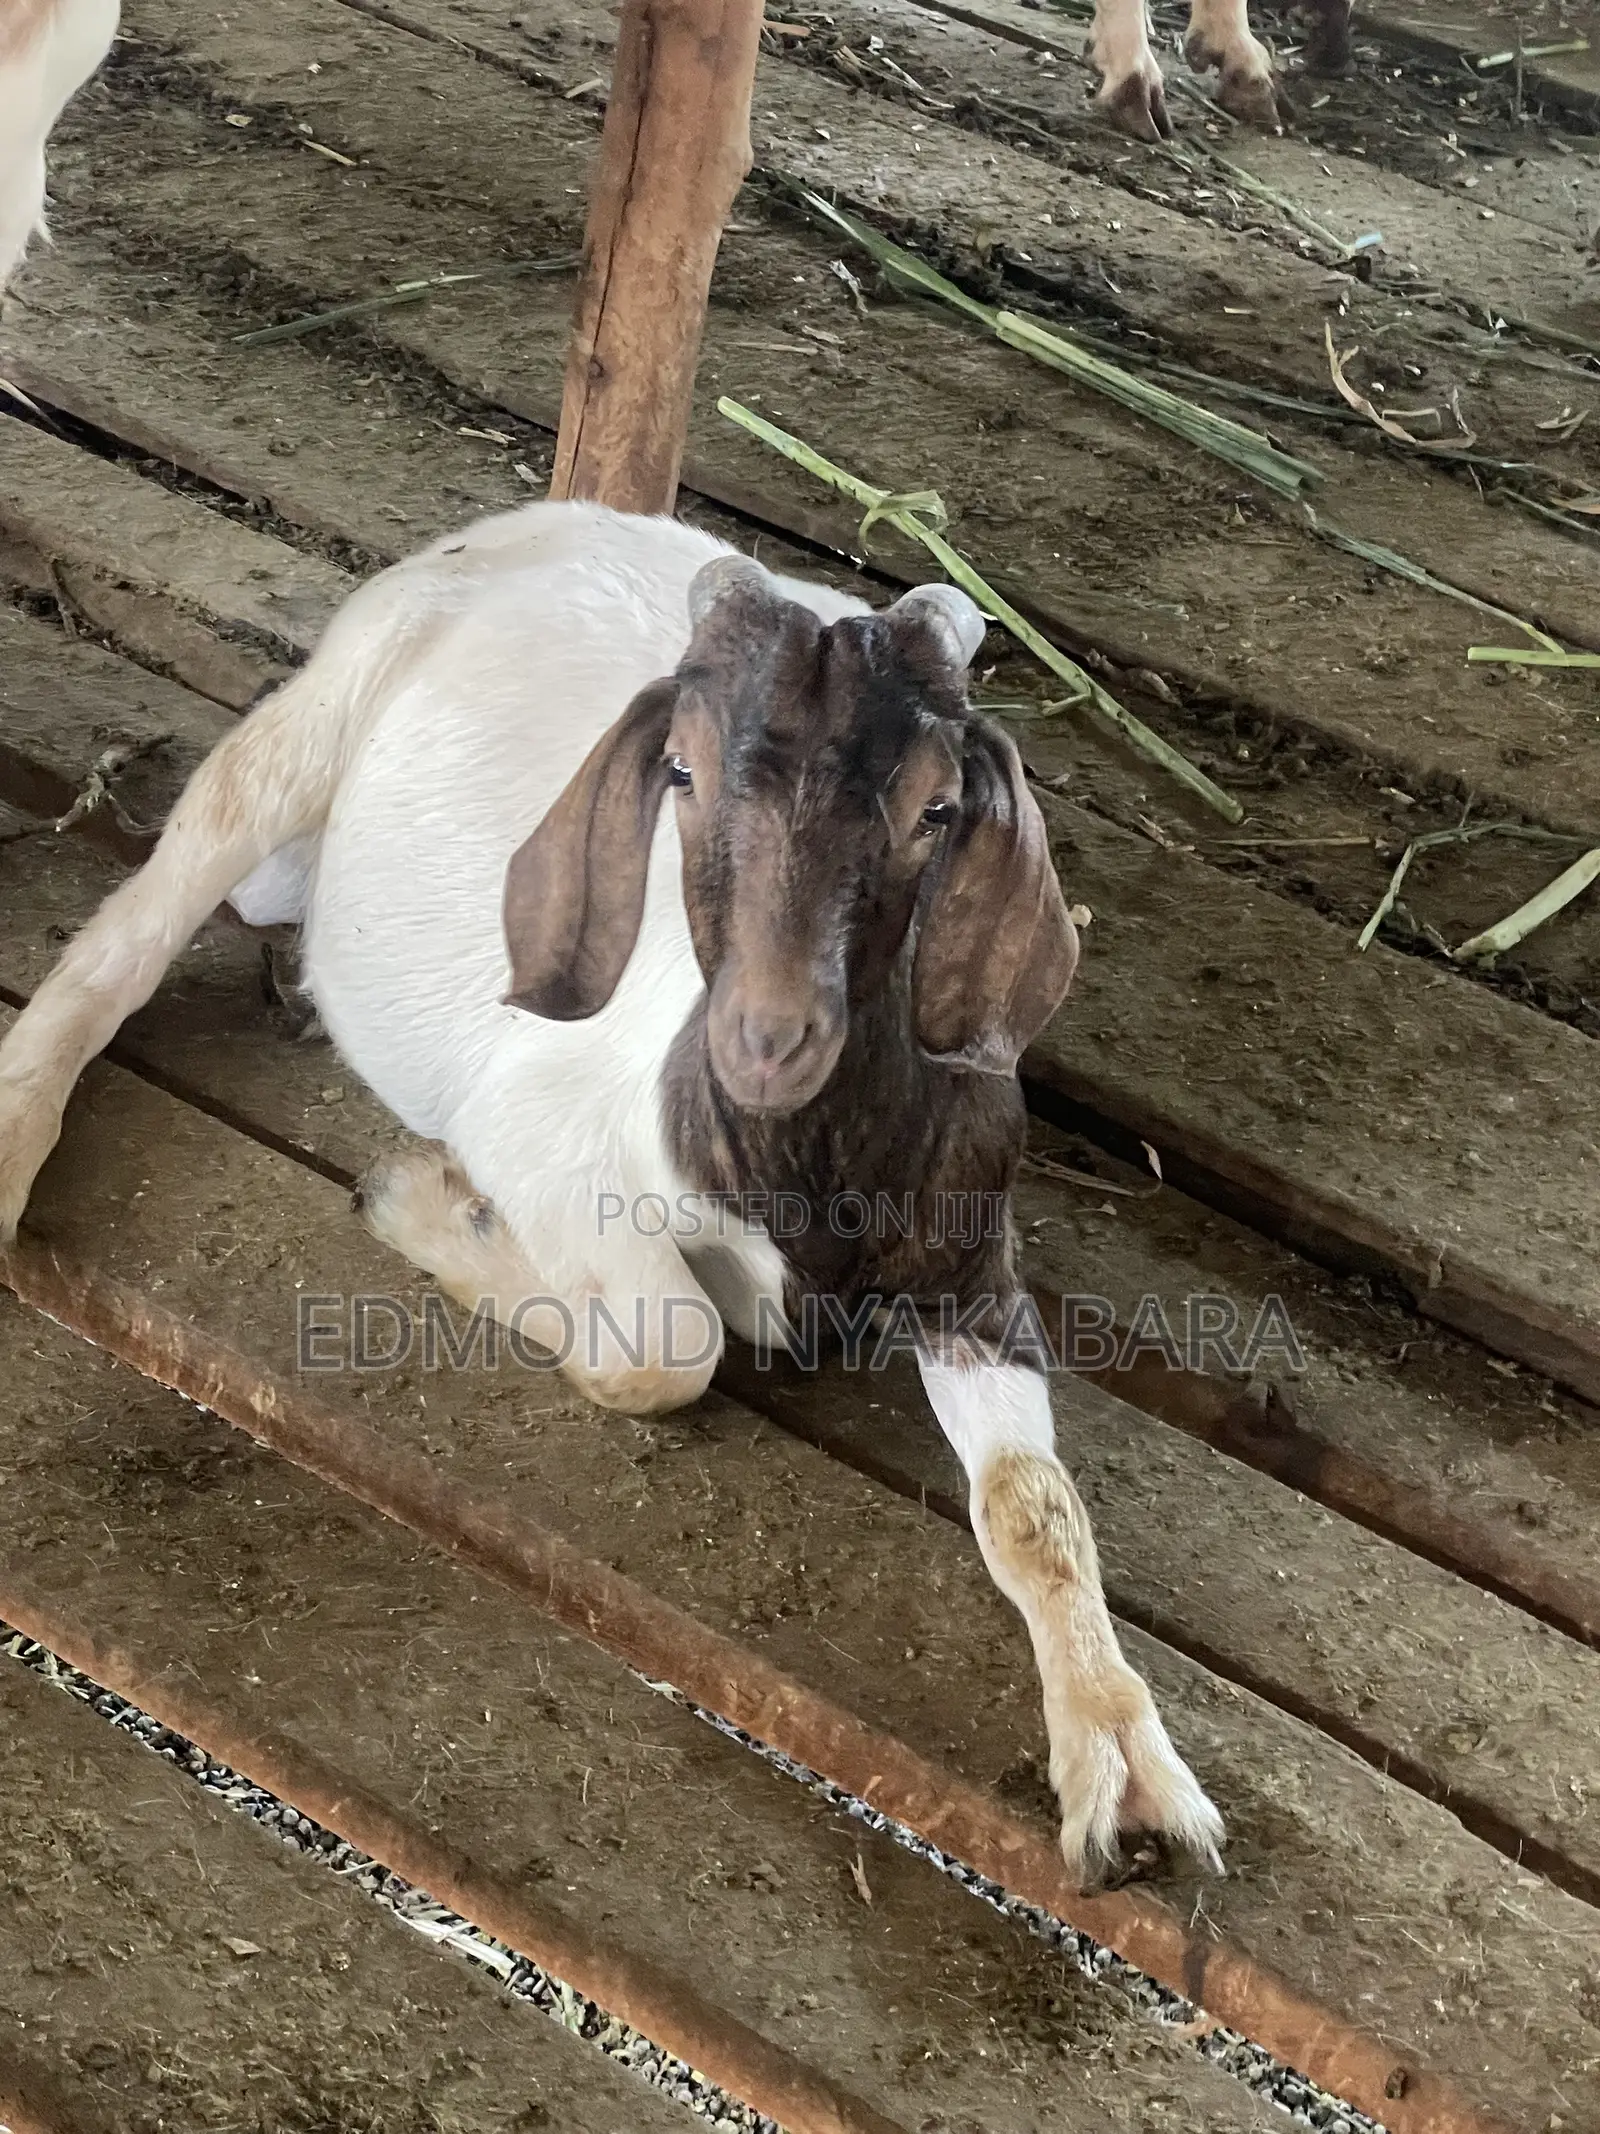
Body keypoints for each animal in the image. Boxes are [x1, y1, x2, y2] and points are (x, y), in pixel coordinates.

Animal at [0, 500, 1224, 1881]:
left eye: (937, 806)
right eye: (677, 773)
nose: (767, 1038)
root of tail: (555, 519)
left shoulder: (972, 1273)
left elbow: (1032, 1506)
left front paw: (1124, 1762)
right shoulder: (538, 1121)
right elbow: (665, 1343)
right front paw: (437, 1208)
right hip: (306, 727)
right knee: (135, 925)